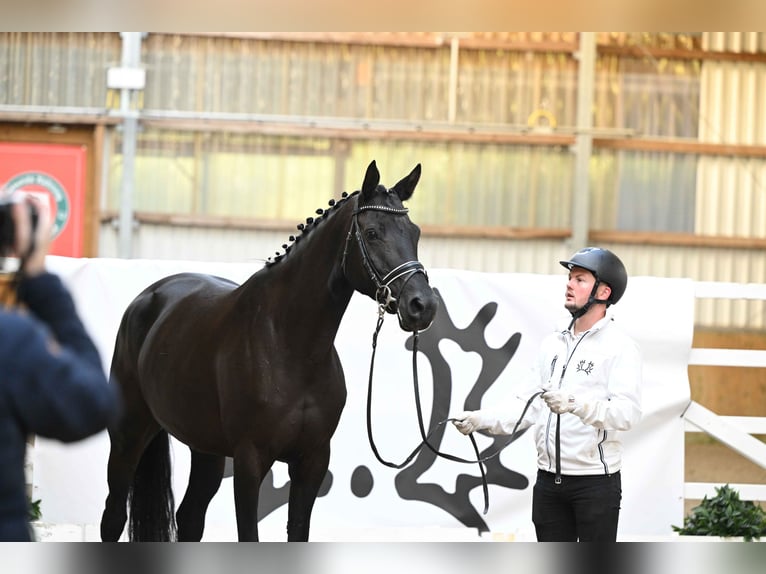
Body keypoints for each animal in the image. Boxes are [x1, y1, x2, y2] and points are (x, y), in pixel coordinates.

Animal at [99, 162, 440, 544]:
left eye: (414, 232)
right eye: (371, 233)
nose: (422, 306)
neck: (291, 347)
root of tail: (148, 297)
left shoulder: (313, 461)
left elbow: (298, 530)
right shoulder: (250, 461)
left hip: (206, 450)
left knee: (189, 518)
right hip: (129, 435)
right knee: (113, 517)